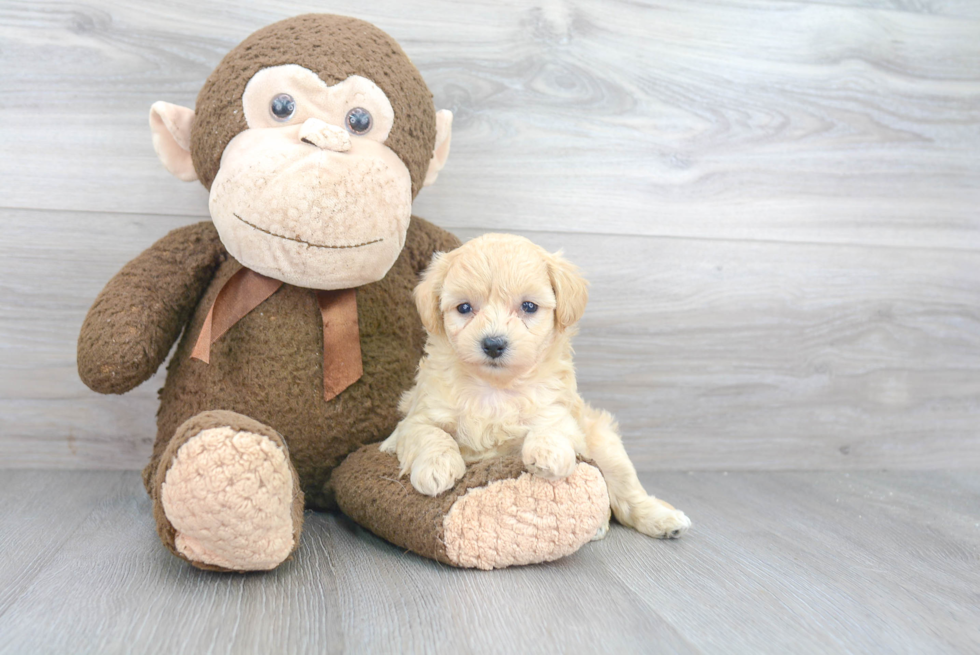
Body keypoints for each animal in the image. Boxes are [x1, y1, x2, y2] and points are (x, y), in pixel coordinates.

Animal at [378, 233, 692, 540]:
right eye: (464, 308)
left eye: (528, 306)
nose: (493, 344)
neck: (494, 388)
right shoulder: (416, 418)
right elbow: (430, 434)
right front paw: (437, 467)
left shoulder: (559, 413)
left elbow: (551, 427)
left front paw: (546, 455)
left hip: (607, 446)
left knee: (626, 494)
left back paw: (661, 519)